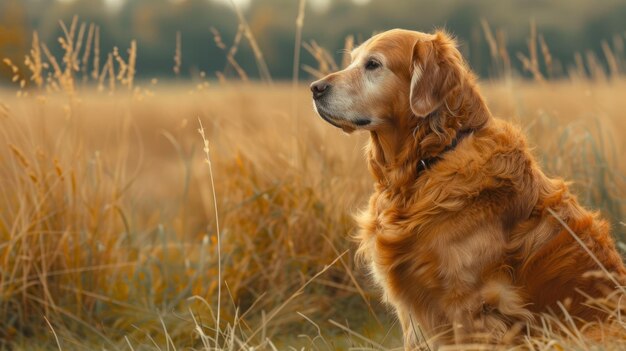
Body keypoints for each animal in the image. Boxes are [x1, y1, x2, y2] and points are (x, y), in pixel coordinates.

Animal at [308, 28, 624, 348]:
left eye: (373, 64)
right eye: (352, 60)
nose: (314, 88)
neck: (427, 163)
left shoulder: (469, 304)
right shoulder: (413, 314)